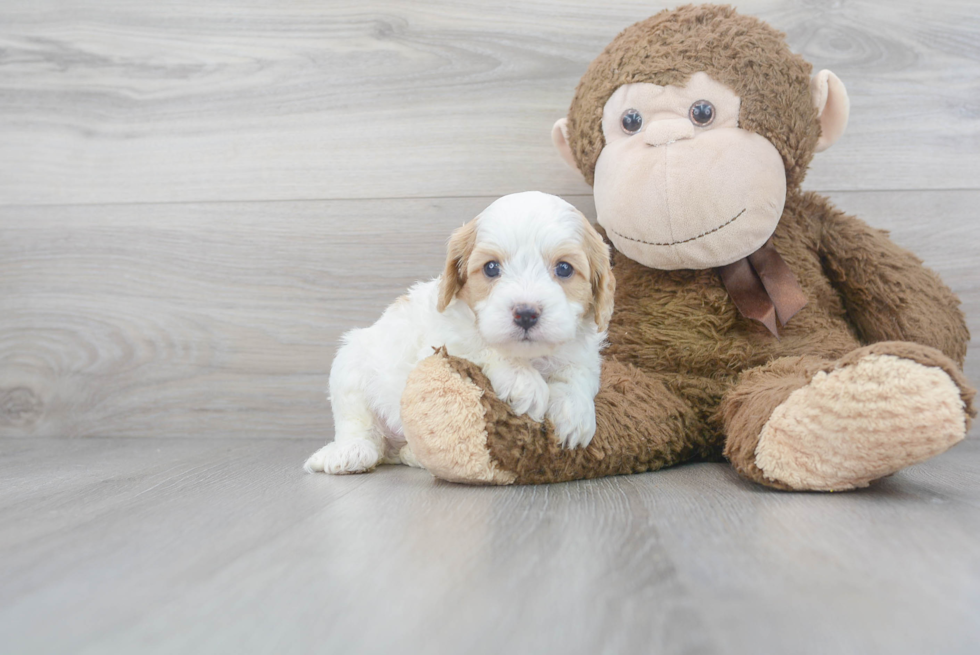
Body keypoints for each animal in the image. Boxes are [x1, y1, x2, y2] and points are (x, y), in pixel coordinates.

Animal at [302, 191, 616, 476]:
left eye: (564, 268)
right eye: (491, 268)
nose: (525, 313)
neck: (531, 356)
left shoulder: (583, 353)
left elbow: (577, 374)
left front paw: (573, 413)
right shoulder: (443, 339)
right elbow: (481, 345)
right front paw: (524, 382)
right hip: (350, 365)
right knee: (357, 425)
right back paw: (349, 452)